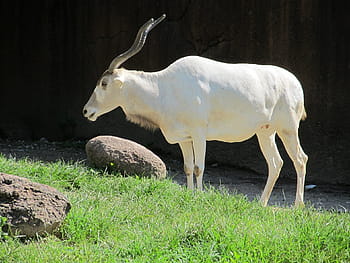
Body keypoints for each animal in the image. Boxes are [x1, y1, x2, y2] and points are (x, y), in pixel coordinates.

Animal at [83, 14, 308, 207]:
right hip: (265, 132)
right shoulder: (184, 138)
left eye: (104, 83)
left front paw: (199, 197)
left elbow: (200, 167)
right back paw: (261, 204)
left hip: (288, 130)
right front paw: (190, 194)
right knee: (276, 163)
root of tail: (296, 83)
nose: (86, 111)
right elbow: (188, 167)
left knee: (299, 159)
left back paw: (298, 206)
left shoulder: (199, 133)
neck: (164, 87)